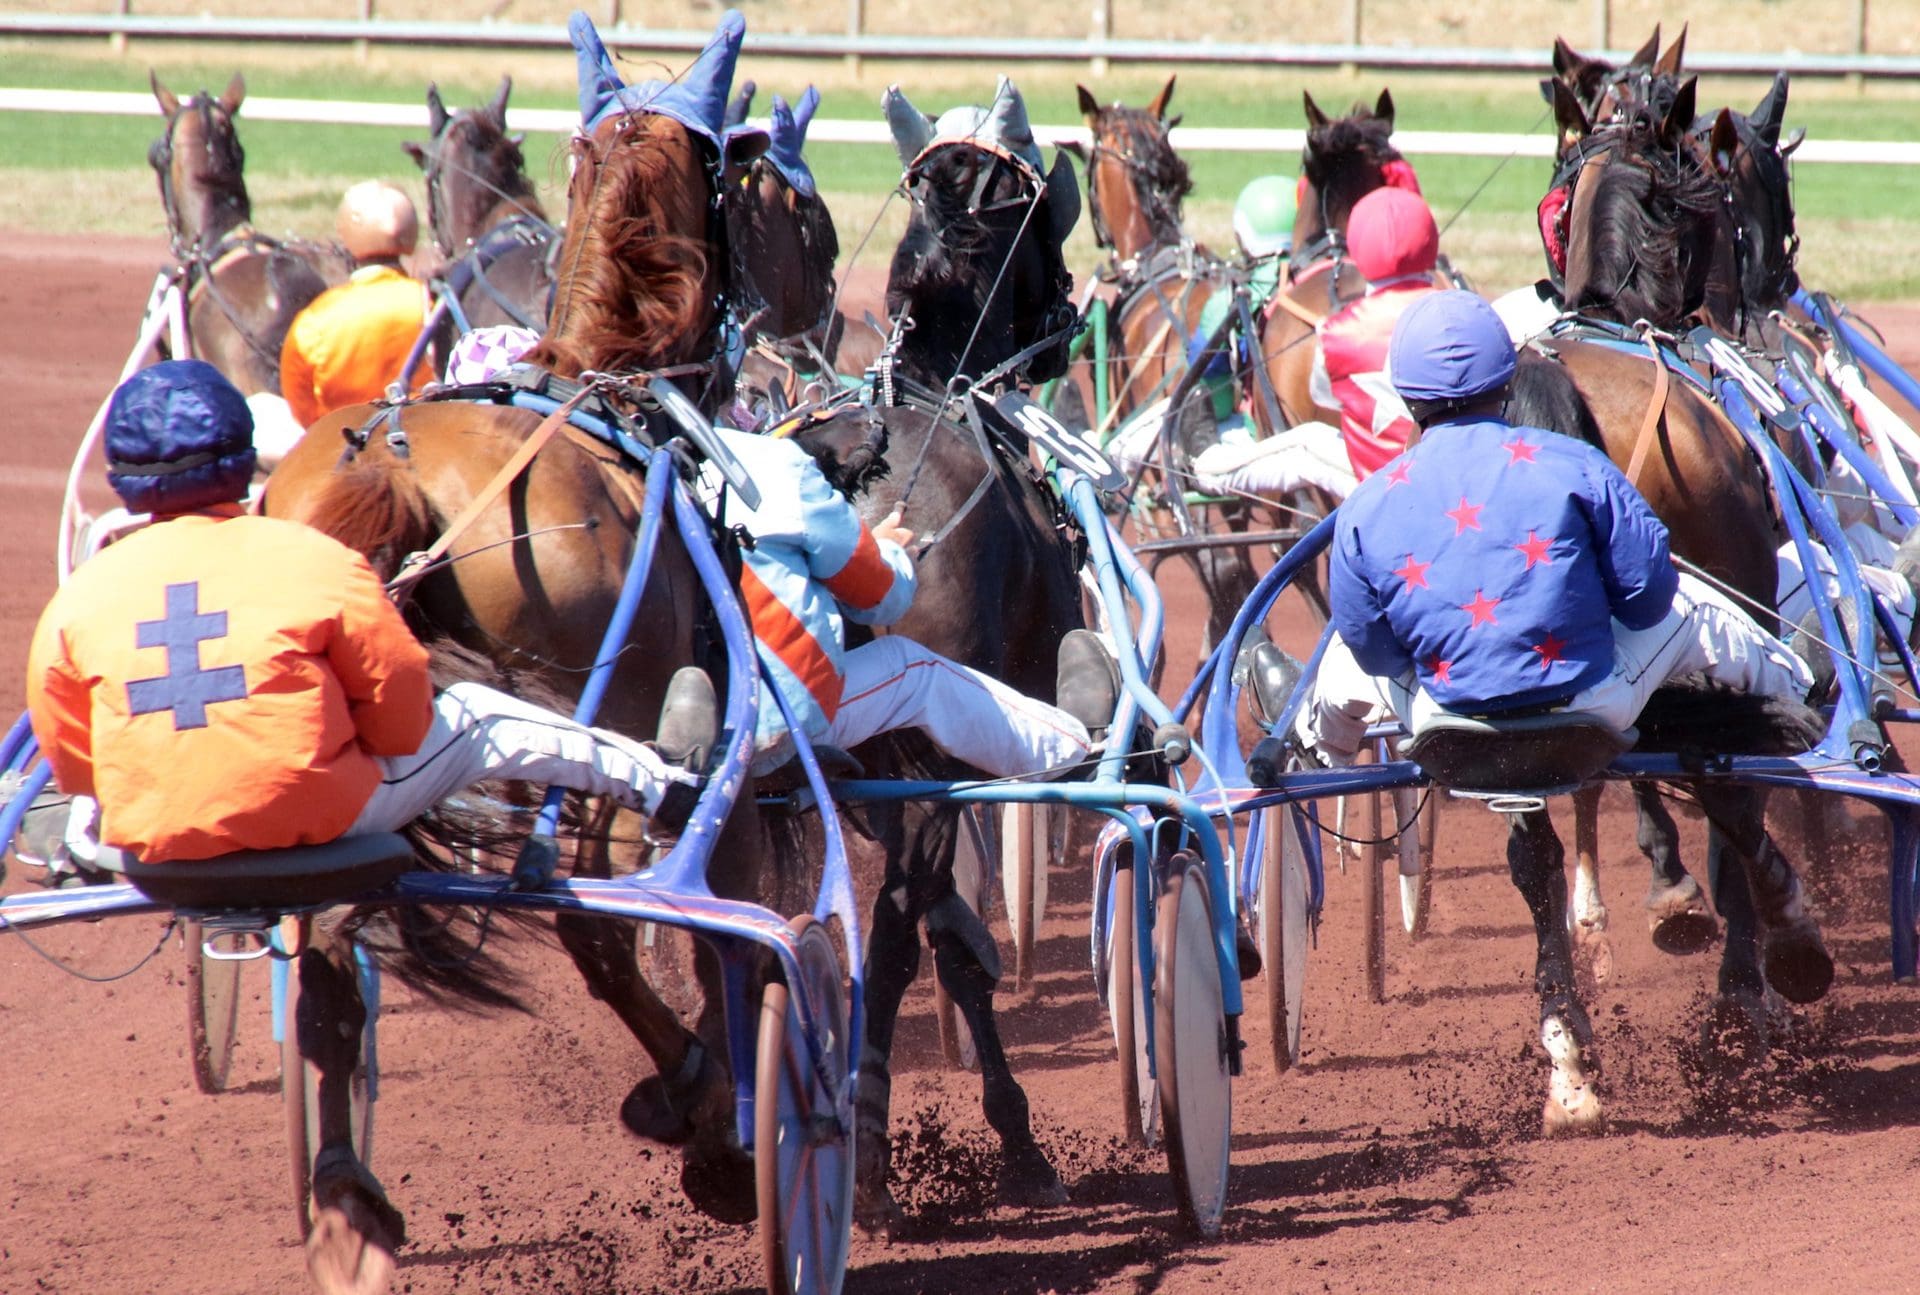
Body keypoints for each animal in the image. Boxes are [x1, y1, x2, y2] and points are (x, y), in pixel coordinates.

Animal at [791, 80, 1098, 1229]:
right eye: (1047, 225)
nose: (1061, 326)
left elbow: (952, 937)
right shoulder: (958, 761)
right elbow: (941, 942)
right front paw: (1017, 1138)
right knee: (884, 933)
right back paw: (869, 1152)